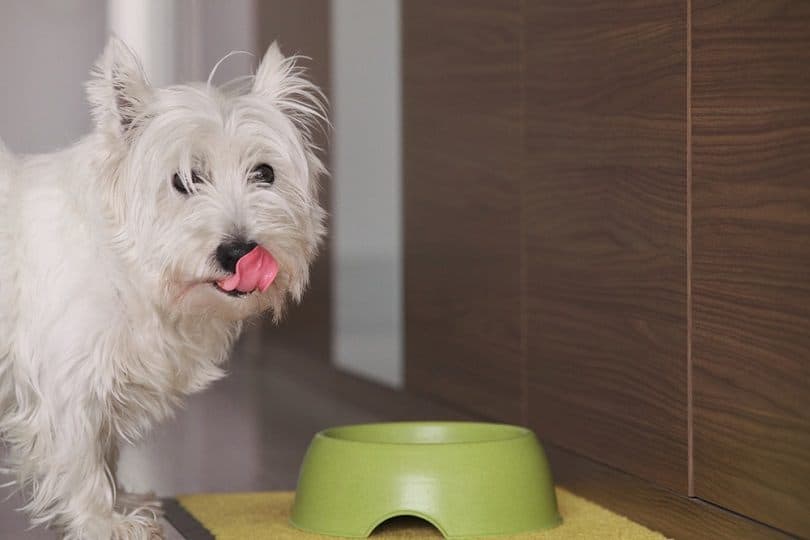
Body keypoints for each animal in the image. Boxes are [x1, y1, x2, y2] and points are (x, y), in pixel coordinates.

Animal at [2, 37, 328, 536]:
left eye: (265, 173)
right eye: (183, 180)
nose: (238, 251)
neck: (127, 265)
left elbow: (105, 450)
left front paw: (123, 501)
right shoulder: (68, 378)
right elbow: (80, 456)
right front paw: (101, 521)